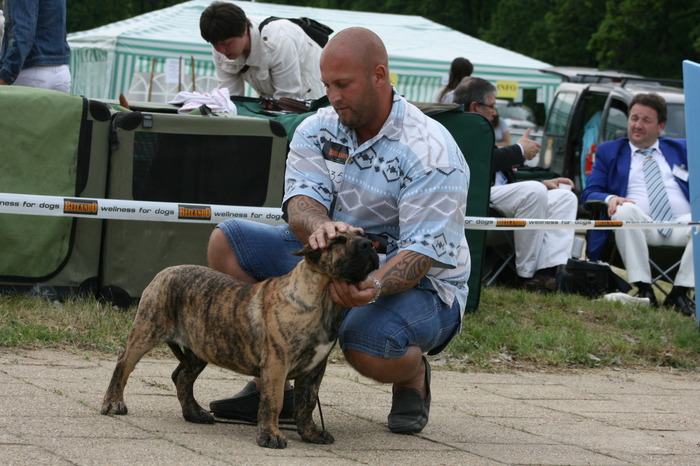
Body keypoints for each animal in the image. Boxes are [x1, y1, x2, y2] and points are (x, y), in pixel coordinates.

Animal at [100, 229, 378, 448]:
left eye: (363, 234)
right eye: (338, 240)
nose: (369, 245)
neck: (324, 299)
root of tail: (165, 271)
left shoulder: (314, 369)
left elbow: (307, 402)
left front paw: (310, 433)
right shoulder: (277, 364)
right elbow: (273, 401)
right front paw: (270, 436)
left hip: (200, 347)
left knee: (182, 377)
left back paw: (195, 413)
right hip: (147, 331)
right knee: (123, 364)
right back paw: (113, 403)